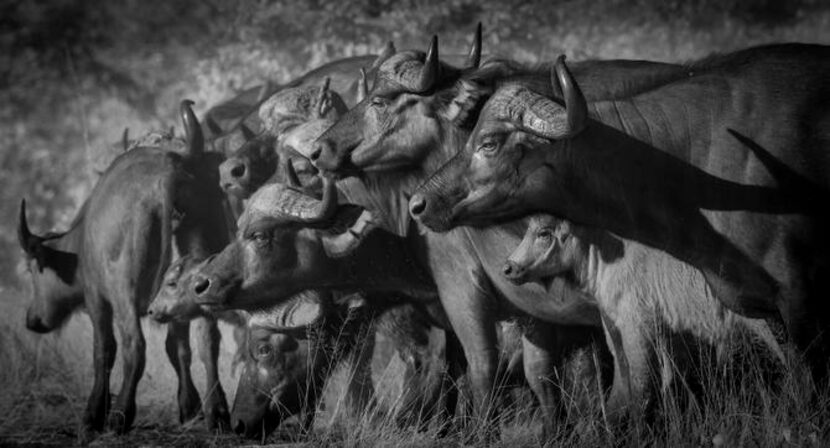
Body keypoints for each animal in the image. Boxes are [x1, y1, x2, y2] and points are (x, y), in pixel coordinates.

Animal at [19, 101, 232, 438]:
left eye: (32, 270)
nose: (32, 319)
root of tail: (170, 170)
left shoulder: (97, 299)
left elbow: (104, 351)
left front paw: (94, 414)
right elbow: (179, 348)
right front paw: (189, 407)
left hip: (124, 290)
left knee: (134, 345)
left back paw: (120, 414)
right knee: (207, 339)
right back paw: (218, 412)